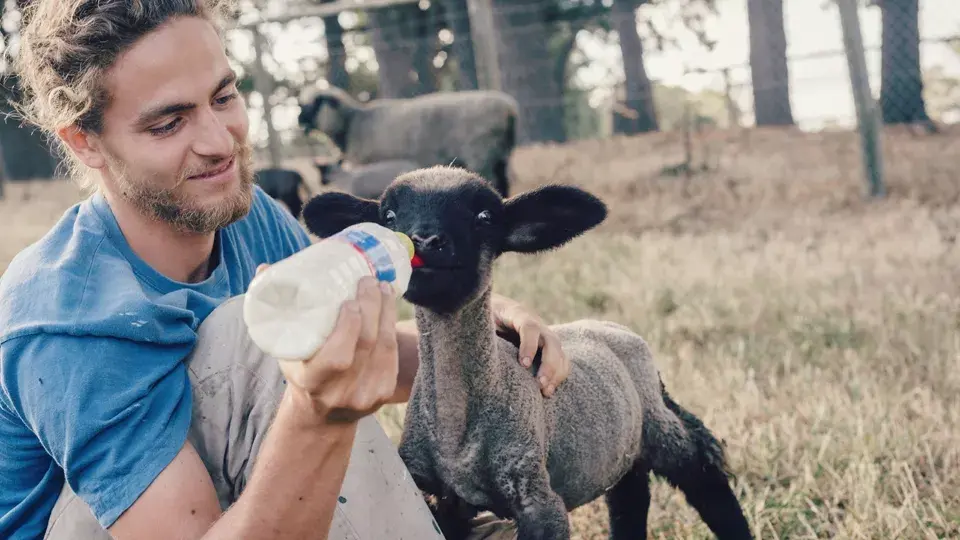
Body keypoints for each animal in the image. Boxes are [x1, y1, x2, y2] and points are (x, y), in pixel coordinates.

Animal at [296, 86, 516, 198]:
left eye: (317, 103)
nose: (298, 120)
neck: (353, 123)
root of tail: (509, 109)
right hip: (501, 154)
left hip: (481, 153)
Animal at [304, 165, 752, 540]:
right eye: (389, 217)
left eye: (484, 217)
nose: (426, 241)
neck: (457, 433)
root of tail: (613, 328)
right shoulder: (438, 500)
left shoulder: (538, 501)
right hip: (620, 446)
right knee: (629, 498)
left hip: (660, 424)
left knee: (705, 478)